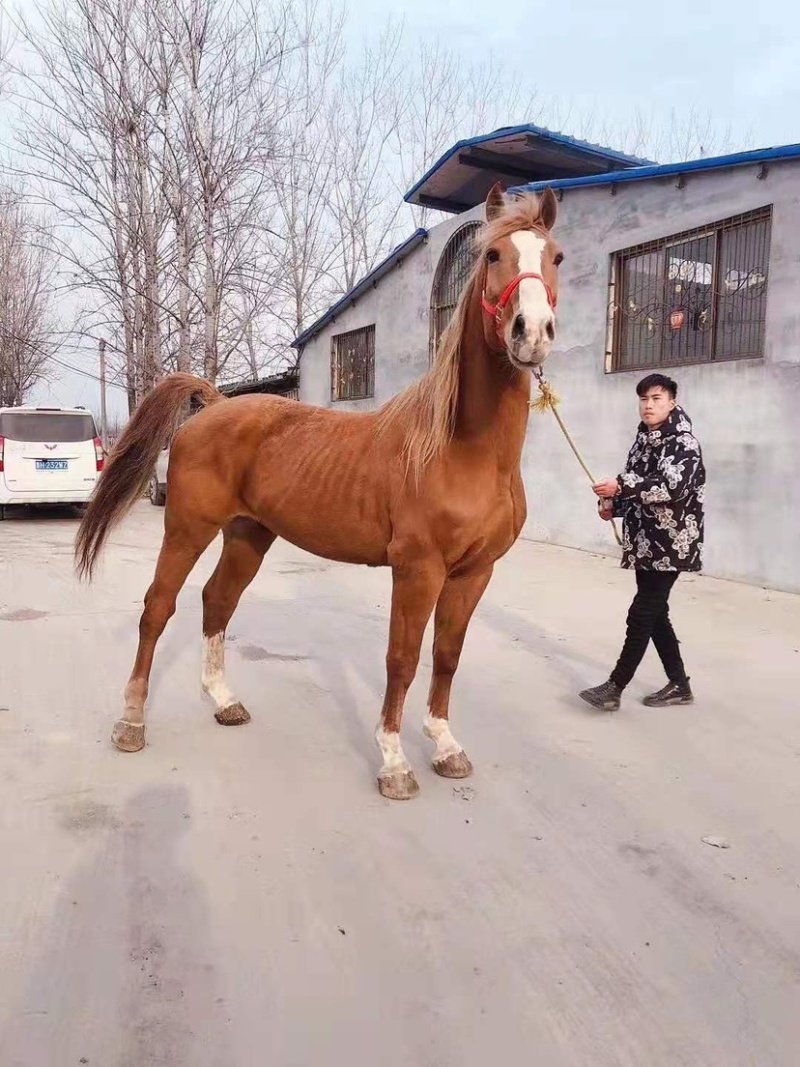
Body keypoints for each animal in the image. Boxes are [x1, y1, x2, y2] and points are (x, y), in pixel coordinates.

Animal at [75, 182, 563, 800]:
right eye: (495, 255)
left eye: (557, 256)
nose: (533, 332)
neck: (462, 450)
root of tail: (214, 403)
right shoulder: (418, 568)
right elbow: (402, 658)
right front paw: (394, 763)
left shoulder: (475, 571)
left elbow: (447, 655)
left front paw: (446, 746)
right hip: (187, 528)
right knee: (157, 607)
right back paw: (132, 721)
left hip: (249, 534)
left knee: (217, 600)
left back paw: (224, 701)